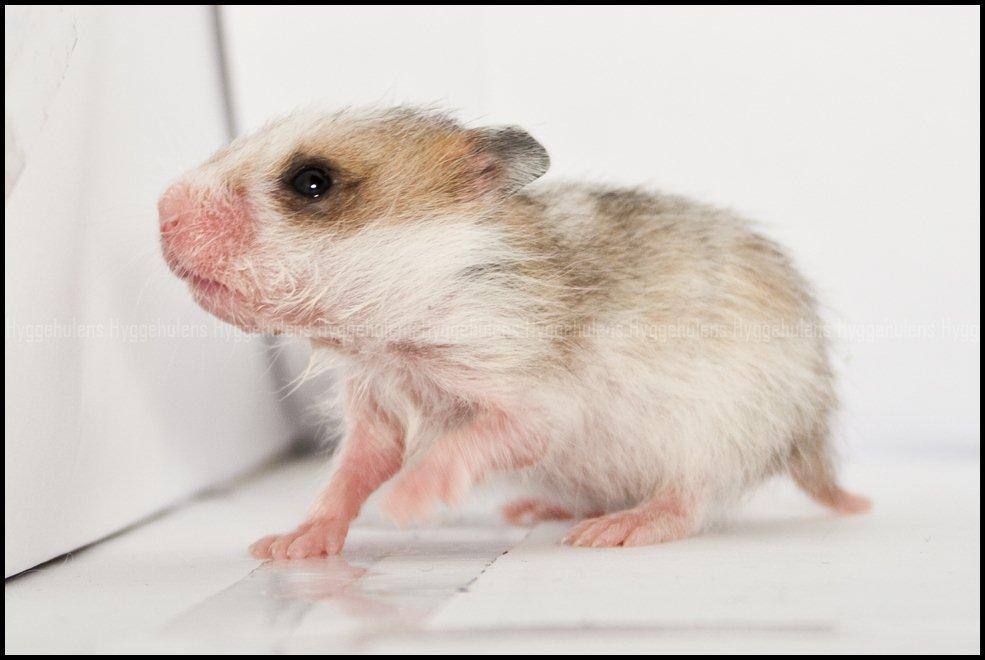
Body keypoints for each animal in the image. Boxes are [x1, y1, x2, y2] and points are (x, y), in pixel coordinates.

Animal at [158, 107, 869, 558]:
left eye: (312, 181)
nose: (161, 210)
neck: (397, 328)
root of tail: (811, 436)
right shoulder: (377, 406)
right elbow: (349, 476)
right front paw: (288, 546)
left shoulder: (532, 396)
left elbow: (467, 444)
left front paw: (405, 505)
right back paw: (539, 512)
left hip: (716, 433)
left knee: (691, 501)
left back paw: (612, 531)